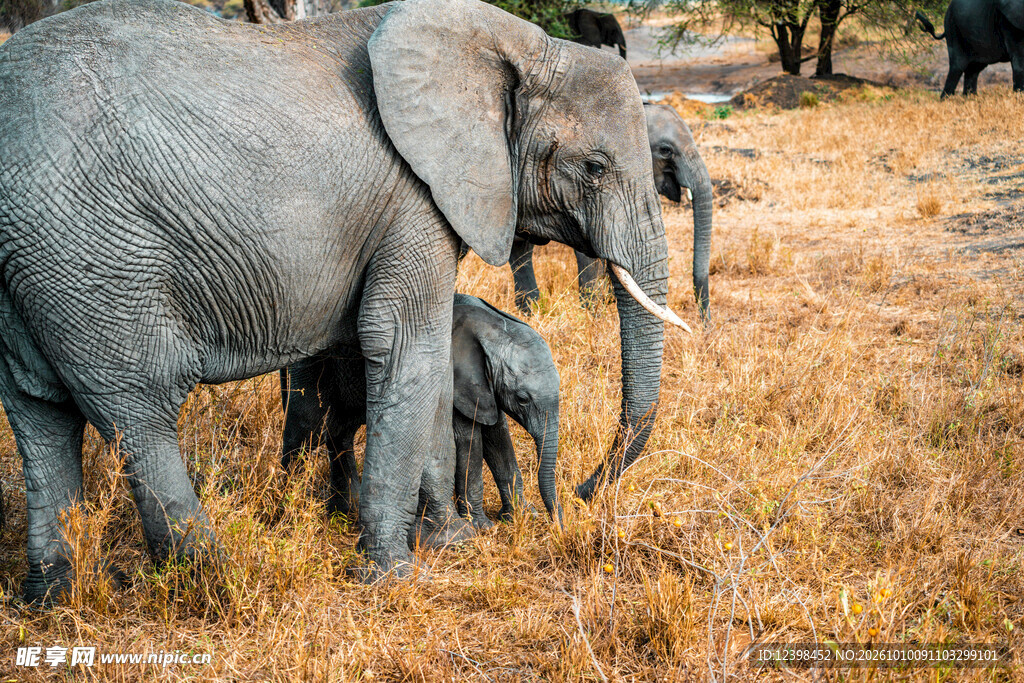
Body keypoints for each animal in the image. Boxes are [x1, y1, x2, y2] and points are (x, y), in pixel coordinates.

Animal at [280, 294, 561, 531]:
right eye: (523, 399)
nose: (557, 523)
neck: (494, 326)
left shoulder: (484, 387)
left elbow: (498, 439)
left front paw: (523, 516)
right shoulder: (454, 379)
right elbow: (469, 441)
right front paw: (483, 527)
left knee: (340, 432)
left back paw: (344, 513)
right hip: (310, 368)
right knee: (304, 431)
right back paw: (285, 508)